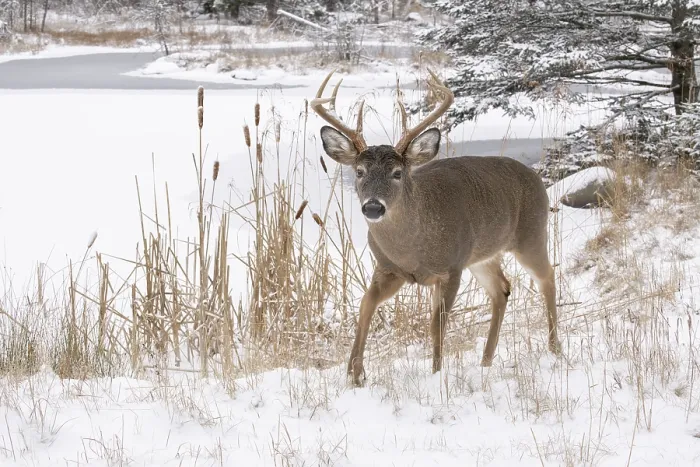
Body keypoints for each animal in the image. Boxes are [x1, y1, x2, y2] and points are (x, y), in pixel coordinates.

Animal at [310, 69, 561, 386]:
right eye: (359, 172)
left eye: (397, 173)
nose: (373, 207)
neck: (412, 248)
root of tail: (536, 177)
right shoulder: (389, 269)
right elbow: (366, 305)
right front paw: (355, 373)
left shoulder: (451, 268)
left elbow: (436, 325)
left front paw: (436, 374)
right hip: (482, 256)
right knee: (502, 289)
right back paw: (486, 361)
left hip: (531, 234)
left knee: (547, 277)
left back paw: (554, 348)